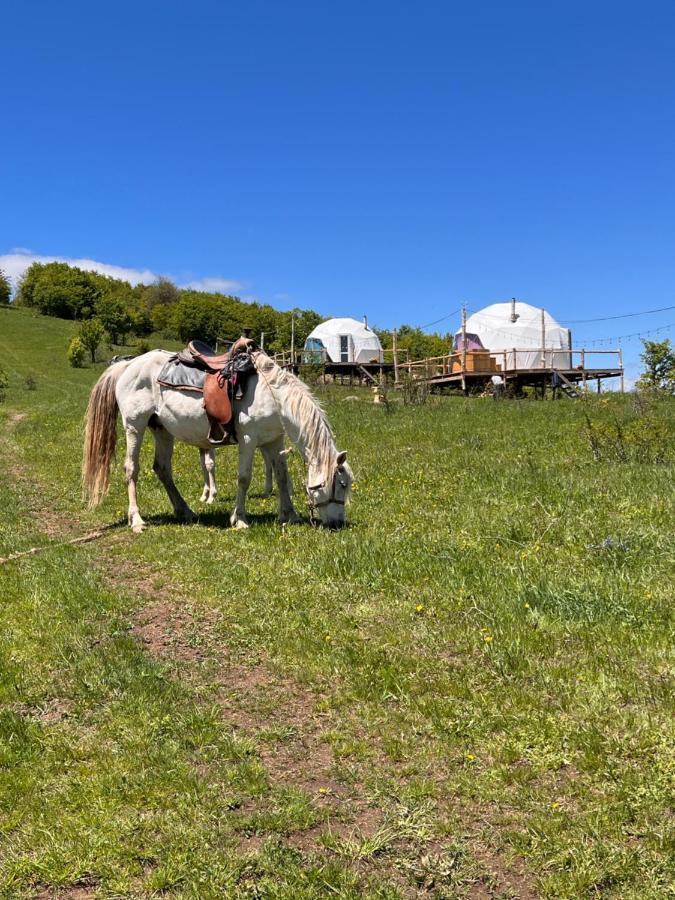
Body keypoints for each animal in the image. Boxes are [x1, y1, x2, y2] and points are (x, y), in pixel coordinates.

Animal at [83, 348, 354, 532]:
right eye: (340, 485)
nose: (338, 523)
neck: (275, 396)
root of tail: (128, 364)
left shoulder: (274, 441)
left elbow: (281, 477)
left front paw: (290, 515)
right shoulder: (248, 439)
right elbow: (244, 478)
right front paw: (240, 519)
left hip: (161, 430)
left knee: (162, 469)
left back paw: (185, 511)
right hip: (134, 426)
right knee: (131, 468)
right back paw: (137, 520)